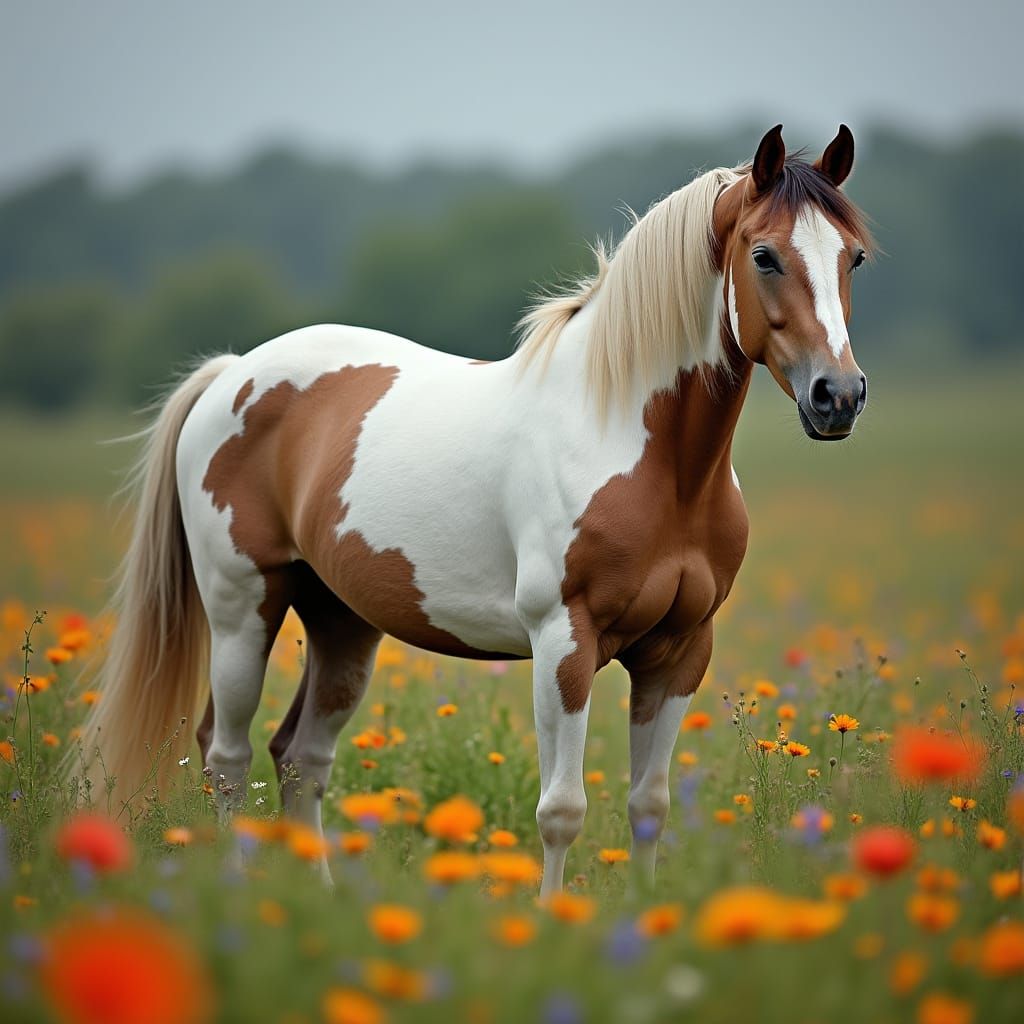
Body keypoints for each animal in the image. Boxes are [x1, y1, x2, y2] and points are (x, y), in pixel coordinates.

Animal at [79, 124, 872, 895]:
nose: (838, 396)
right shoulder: (564, 642)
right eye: (764, 255)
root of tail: (232, 373)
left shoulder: (680, 649)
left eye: (854, 258)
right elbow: (561, 810)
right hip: (243, 607)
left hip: (341, 621)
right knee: (227, 755)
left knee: (299, 756)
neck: (641, 451)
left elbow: (648, 805)